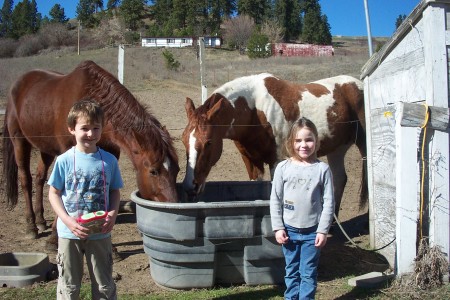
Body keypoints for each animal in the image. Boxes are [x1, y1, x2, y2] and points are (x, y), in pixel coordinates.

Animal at [3, 59, 181, 243]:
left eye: (177, 169)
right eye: (153, 171)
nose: (172, 205)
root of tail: (18, 84)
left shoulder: (109, 156)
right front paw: (54, 237)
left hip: (46, 147)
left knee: (39, 178)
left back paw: (40, 221)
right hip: (19, 141)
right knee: (26, 179)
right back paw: (31, 225)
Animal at [181, 73, 368, 217]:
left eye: (209, 142)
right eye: (183, 139)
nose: (190, 186)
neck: (254, 110)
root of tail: (357, 84)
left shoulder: (276, 160)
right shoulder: (250, 160)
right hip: (337, 149)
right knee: (339, 178)